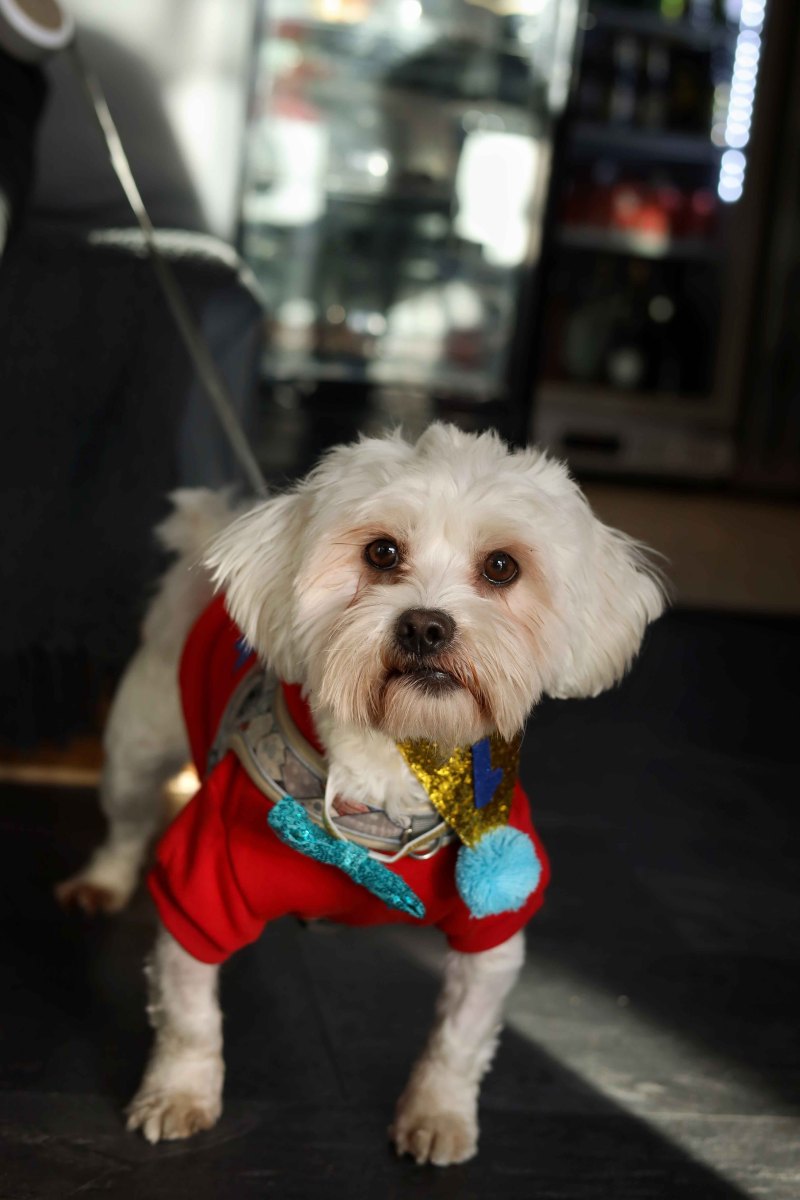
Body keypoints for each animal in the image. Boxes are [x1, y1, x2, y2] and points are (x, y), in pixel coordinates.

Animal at [57, 423, 665, 1166]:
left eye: (501, 567)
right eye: (382, 552)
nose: (426, 626)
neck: (391, 769)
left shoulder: (493, 930)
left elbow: (459, 1042)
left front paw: (437, 1115)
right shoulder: (198, 890)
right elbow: (189, 1017)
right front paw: (178, 1094)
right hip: (136, 745)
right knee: (126, 821)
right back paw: (103, 882)